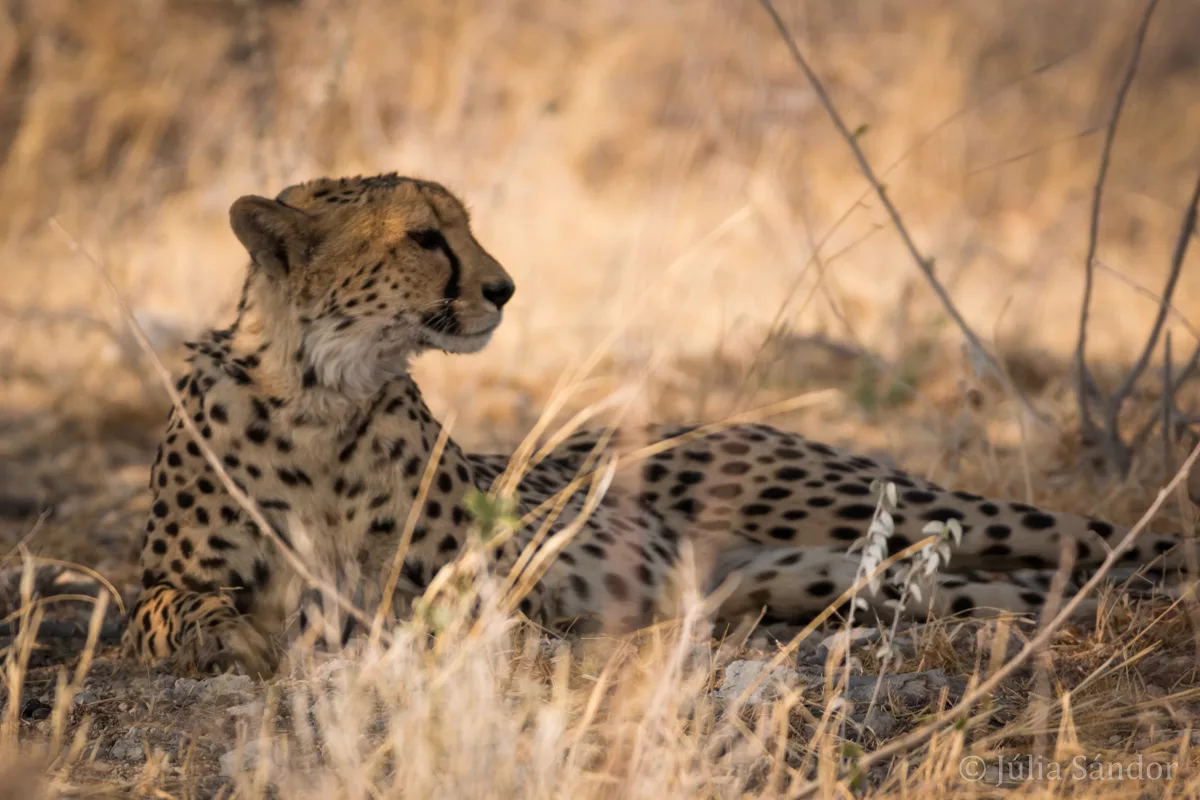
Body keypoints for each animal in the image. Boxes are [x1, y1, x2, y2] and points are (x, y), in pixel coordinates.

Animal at [124, 171, 1190, 677]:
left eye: (461, 226)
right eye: (425, 237)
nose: (505, 289)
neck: (322, 391)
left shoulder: (486, 585)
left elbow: (424, 607)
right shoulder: (163, 584)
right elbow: (177, 609)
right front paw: (241, 637)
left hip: (876, 508)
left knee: (1104, 534)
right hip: (817, 579)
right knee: (999, 586)